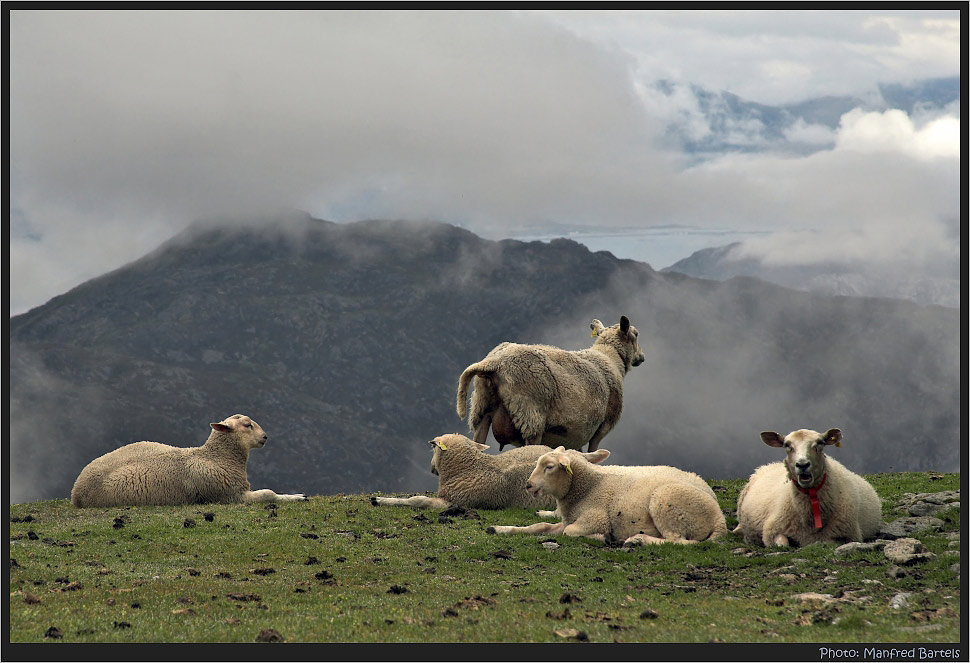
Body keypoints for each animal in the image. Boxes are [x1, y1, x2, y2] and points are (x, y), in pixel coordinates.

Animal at [70, 416, 304, 508]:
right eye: (247, 425)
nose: (265, 437)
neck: (215, 457)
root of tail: (76, 491)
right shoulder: (229, 496)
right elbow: (268, 494)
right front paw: (297, 497)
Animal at [454, 316, 644, 452]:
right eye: (635, 334)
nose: (641, 357)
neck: (610, 357)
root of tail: (495, 363)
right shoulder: (603, 426)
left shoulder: (575, 437)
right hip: (531, 416)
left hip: (481, 408)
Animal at [484, 446, 728, 544]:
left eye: (549, 467)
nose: (528, 485)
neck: (589, 487)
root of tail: (718, 518)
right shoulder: (568, 520)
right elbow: (538, 527)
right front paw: (498, 529)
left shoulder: (595, 519)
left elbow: (571, 532)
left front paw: (605, 537)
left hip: (666, 503)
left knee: (679, 541)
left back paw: (637, 540)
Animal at [732, 428, 884, 548]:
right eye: (787, 445)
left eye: (820, 443)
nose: (802, 464)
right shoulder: (772, 530)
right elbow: (783, 544)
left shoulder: (847, 535)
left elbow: (825, 542)